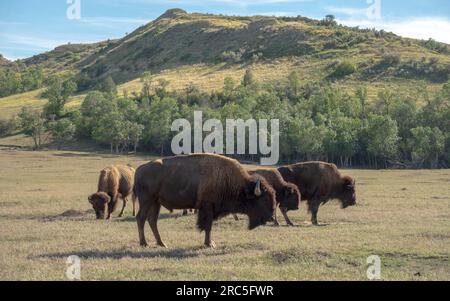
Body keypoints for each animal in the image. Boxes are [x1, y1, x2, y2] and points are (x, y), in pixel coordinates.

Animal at [134, 154, 276, 247]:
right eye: (264, 200)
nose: (270, 217)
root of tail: (138, 170)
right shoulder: (208, 207)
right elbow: (208, 226)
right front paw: (209, 244)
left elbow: (208, 226)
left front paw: (210, 243)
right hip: (146, 200)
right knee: (141, 218)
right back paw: (144, 243)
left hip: (155, 202)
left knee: (152, 220)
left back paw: (161, 243)